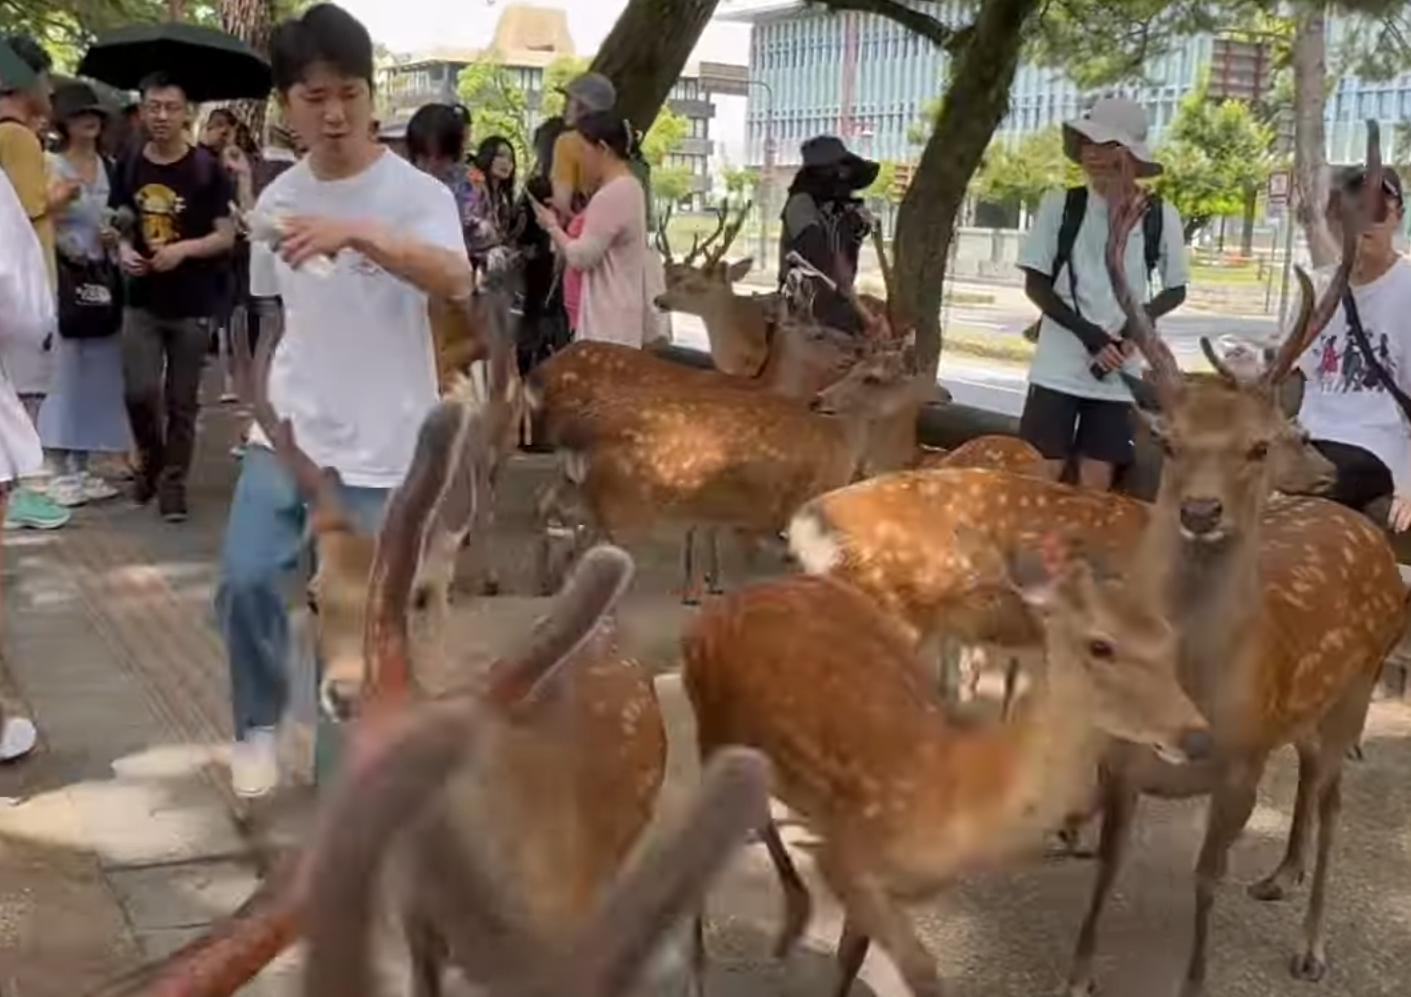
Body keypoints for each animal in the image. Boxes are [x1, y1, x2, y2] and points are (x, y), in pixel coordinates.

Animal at [681, 529, 1212, 997]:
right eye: (1101, 645)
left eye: (1171, 642)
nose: (1199, 736)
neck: (955, 787)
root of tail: (719, 607)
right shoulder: (846, 854)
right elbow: (922, 971)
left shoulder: (889, 887)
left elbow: (852, 958)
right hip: (709, 720)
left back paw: (792, 914)